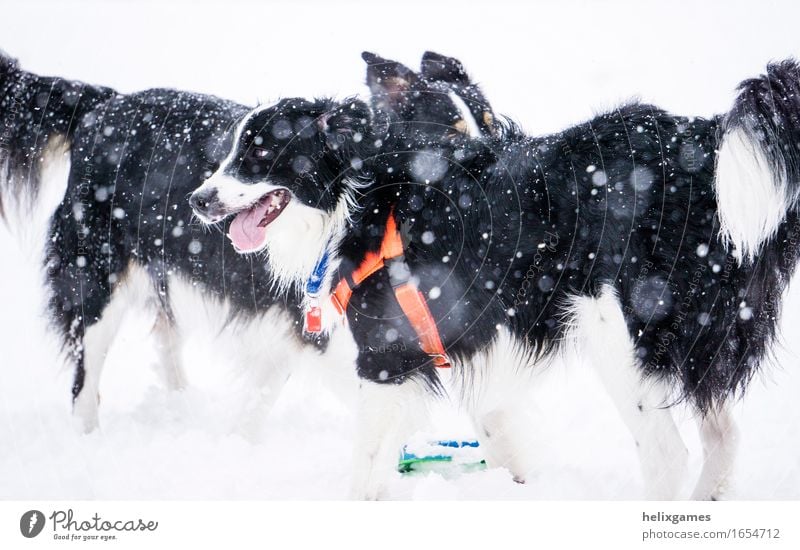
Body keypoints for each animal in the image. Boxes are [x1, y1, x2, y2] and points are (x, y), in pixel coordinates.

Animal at [0, 49, 496, 434]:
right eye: (451, 130)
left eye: (490, 121)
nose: (198, 200)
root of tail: (103, 105)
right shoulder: (316, 321)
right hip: (95, 270)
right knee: (85, 375)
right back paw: (89, 439)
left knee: (165, 334)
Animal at [192, 58, 800, 502]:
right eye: (229, 152)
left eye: (259, 153)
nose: (198, 200)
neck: (360, 194)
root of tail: (705, 144)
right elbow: (494, 436)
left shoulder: (385, 358)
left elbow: (364, 469)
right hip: (700, 342)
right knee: (724, 439)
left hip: (621, 338)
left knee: (667, 456)